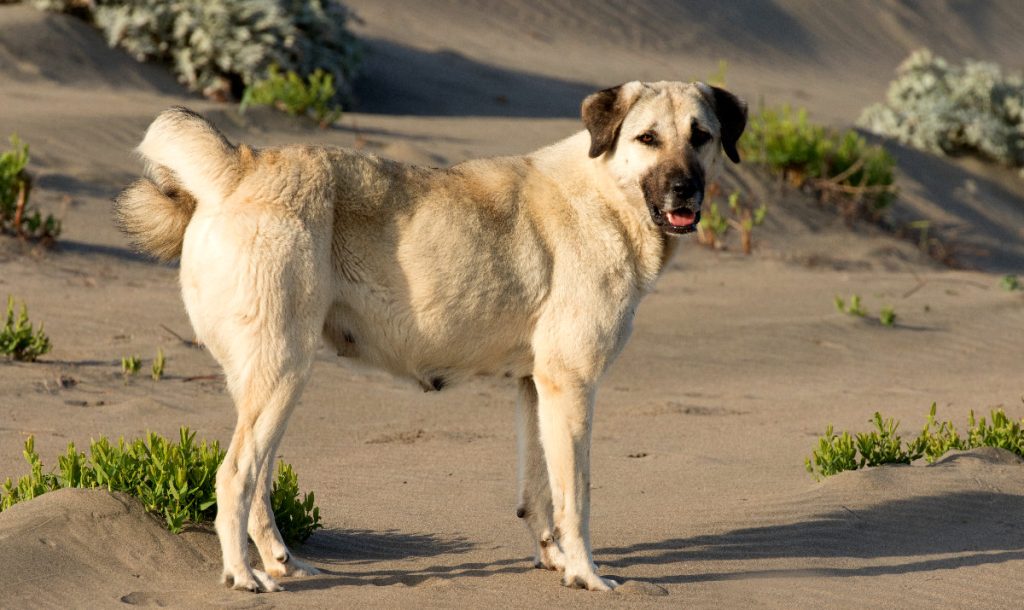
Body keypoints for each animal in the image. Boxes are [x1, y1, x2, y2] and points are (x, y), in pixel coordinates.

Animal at [116, 80, 749, 589]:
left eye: (701, 137)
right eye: (647, 138)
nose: (685, 191)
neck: (607, 192)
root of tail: (242, 165)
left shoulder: (536, 387)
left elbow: (540, 492)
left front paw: (555, 563)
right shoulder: (572, 385)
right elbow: (578, 498)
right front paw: (587, 576)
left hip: (271, 383)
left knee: (259, 484)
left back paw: (281, 562)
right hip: (283, 373)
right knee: (234, 478)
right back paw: (244, 577)